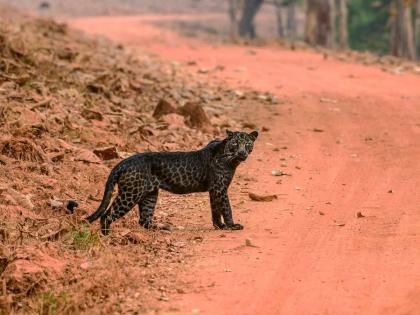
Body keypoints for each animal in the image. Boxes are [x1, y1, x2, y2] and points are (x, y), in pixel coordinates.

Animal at [85, 130, 258, 236]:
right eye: (235, 143)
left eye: (247, 144)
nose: (242, 152)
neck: (231, 159)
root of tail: (123, 162)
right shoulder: (220, 188)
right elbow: (226, 208)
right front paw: (232, 226)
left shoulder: (215, 190)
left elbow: (215, 209)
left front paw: (219, 226)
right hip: (131, 193)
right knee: (107, 215)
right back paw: (107, 236)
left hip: (150, 194)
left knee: (144, 220)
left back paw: (163, 228)